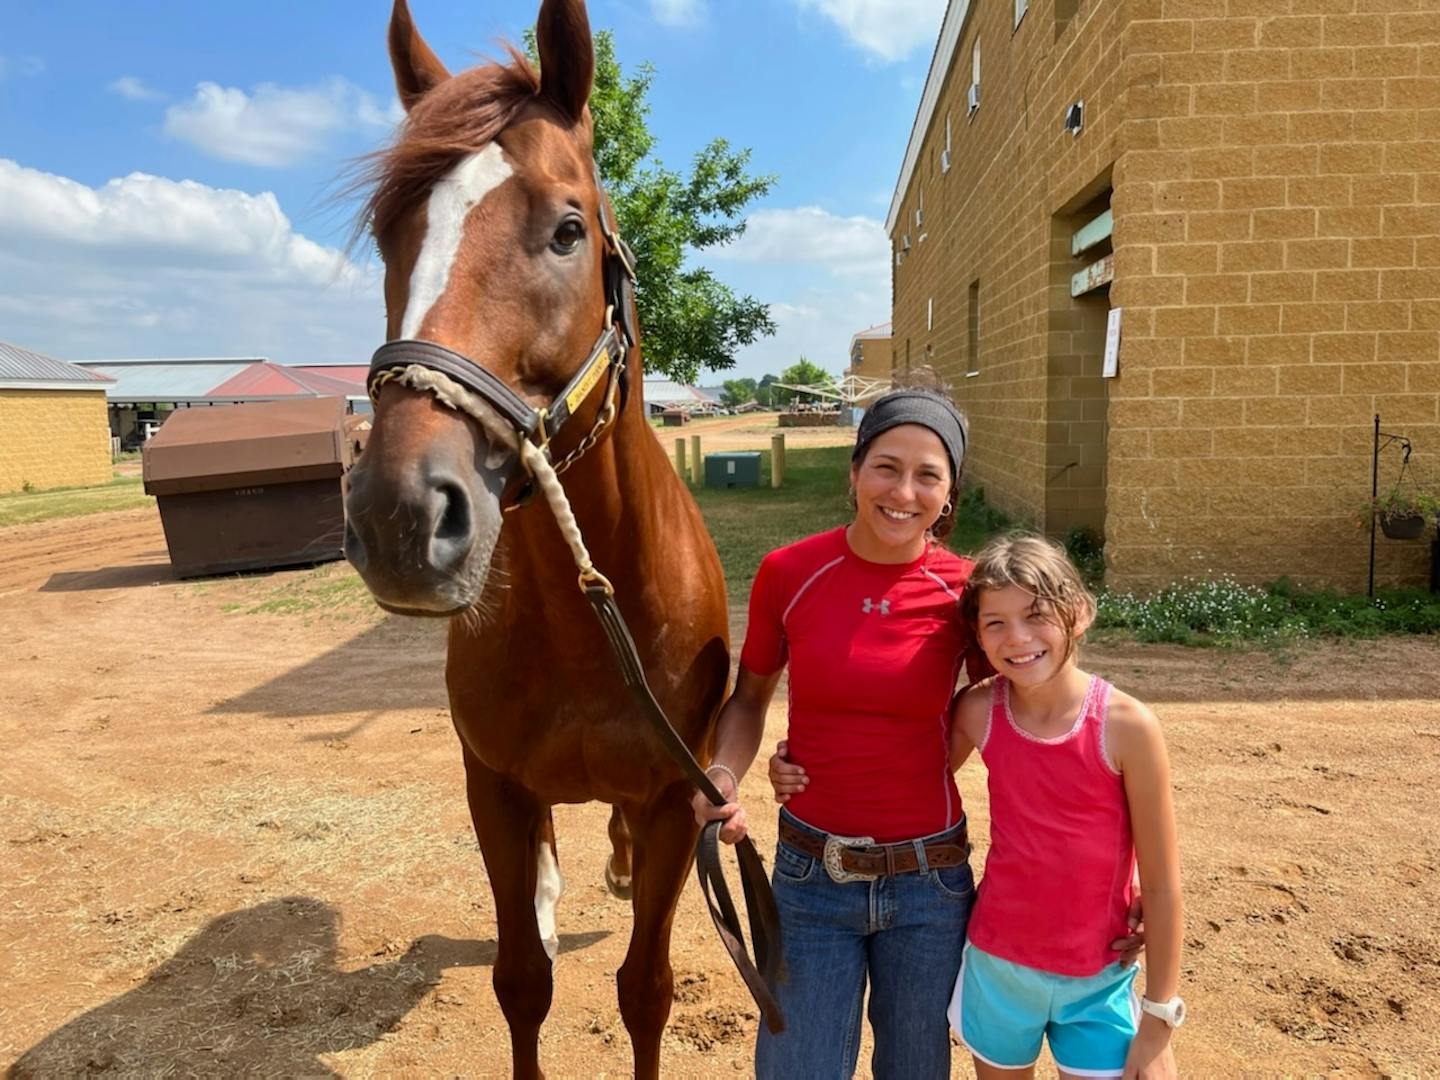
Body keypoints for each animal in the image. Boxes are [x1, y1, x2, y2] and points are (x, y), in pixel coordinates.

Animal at [342, 0, 754, 1077]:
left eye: (568, 229)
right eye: (392, 238)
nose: (398, 514)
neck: (584, 624)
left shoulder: (674, 804)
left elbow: (645, 989)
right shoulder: (494, 791)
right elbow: (521, 980)